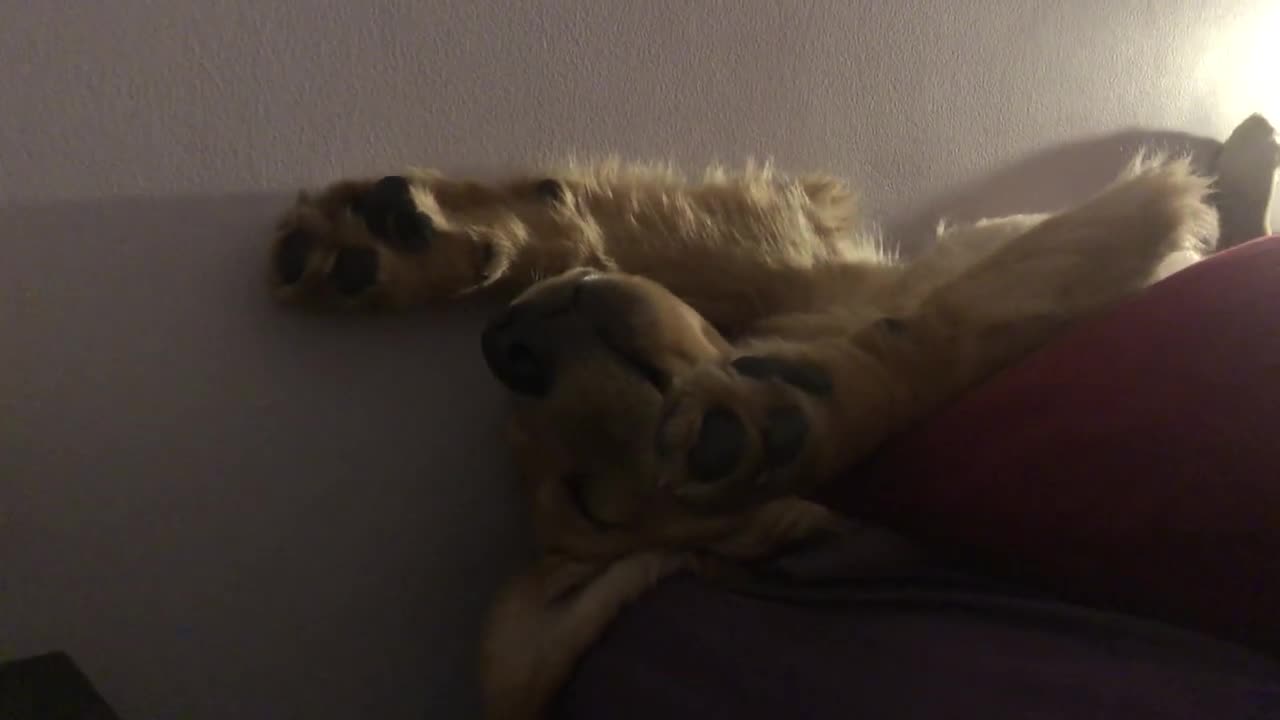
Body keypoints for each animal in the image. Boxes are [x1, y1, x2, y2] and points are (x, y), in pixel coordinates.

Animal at [264, 114, 1274, 712]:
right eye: (596, 498)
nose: (507, 348)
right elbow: (945, 356)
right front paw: (795, 415)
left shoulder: (817, 267)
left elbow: (624, 233)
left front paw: (400, 247)